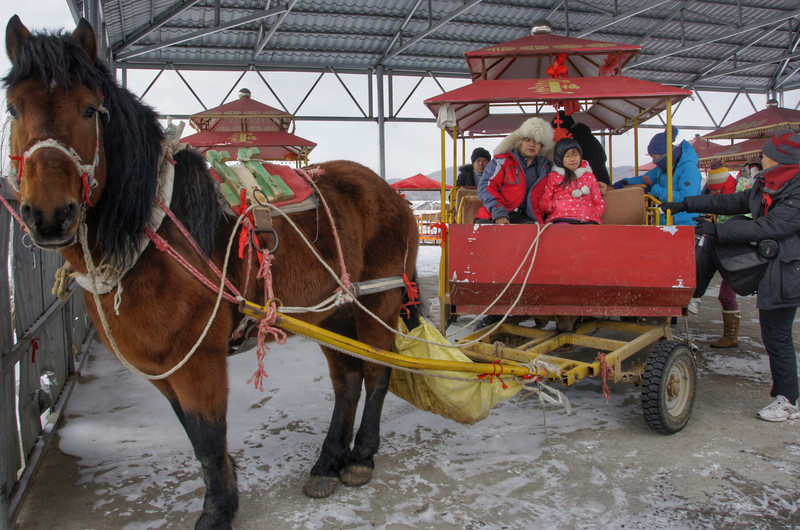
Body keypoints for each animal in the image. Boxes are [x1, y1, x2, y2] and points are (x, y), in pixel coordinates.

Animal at [4, 16, 418, 528]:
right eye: (14, 107)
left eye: (88, 110)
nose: (48, 215)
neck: (156, 234)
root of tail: (392, 194)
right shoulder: (161, 366)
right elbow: (194, 433)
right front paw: (228, 487)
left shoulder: (197, 358)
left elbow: (206, 434)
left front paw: (219, 508)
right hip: (333, 310)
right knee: (348, 381)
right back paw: (328, 461)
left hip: (377, 300)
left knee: (377, 375)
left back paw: (360, 456)